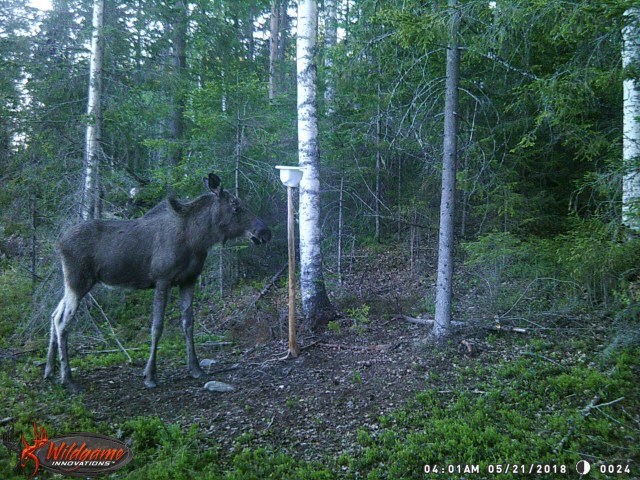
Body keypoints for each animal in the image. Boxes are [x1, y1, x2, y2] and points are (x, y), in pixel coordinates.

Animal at [44, 173, 271, 391]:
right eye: (235, 206)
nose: (265, 232)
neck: (197, 240)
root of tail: (59, 243)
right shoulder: (163, 279)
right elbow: (157, 326)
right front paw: (150, 375)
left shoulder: (189, 280)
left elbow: (188, 323)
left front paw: (195, 368)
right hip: (78, 281)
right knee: (63, 322)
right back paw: (68, 380)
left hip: (74, 284)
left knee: (54, 314)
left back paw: (50, 371)